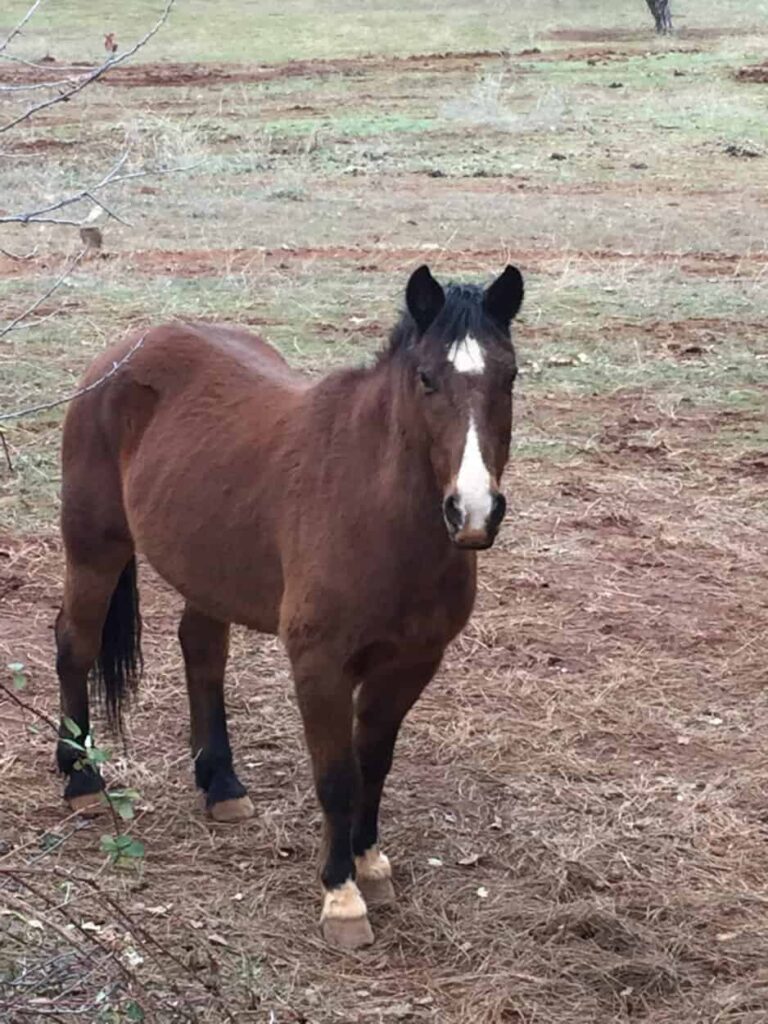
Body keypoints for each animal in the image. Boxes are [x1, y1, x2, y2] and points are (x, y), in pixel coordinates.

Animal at [54, 263, 524, 949]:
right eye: (426, 377)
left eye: (509, 375)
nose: (473, 513)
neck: (374, 510)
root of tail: (123, 353)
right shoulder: (319, 665)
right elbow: (336, 776)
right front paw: (341, 896)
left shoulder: (411, 664)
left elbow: (373, 764)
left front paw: (370, 863)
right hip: (95, 550)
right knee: (76, 645)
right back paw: (80, 777)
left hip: (205, 566)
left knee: (202, 653)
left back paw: (221, 785)